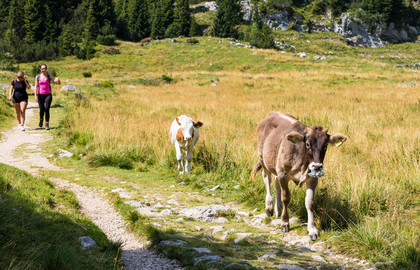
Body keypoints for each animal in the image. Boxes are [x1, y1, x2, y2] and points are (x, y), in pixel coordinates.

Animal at [251, 112, 346, 240]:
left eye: (326, 145)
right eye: (308, 144)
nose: (317, 166)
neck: (303, 164)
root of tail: (273, 113)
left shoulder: (312, 178)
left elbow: (310, 202)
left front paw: (312, 229)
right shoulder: (283, 174)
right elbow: (286, 198)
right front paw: (285, 223)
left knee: (276, 183)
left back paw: (278, 209)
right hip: (263, 159)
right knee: (267, 180)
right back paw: (269, 207)